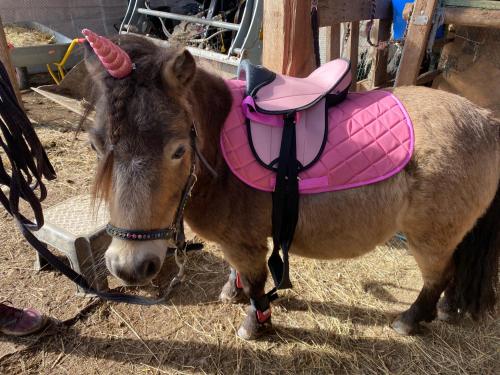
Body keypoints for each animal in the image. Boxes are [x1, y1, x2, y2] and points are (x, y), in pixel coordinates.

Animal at [84, 35, 498, 340]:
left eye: (178, 150)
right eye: (96, 144)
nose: (129, 267)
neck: (219, 150)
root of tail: (484, 120)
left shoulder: (245, 243)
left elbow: (256, 284)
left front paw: (256, 324)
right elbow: (238, 276)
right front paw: (232, 291)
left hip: (430, 238)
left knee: (438, 275)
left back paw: (411, 319)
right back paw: (445, 310)